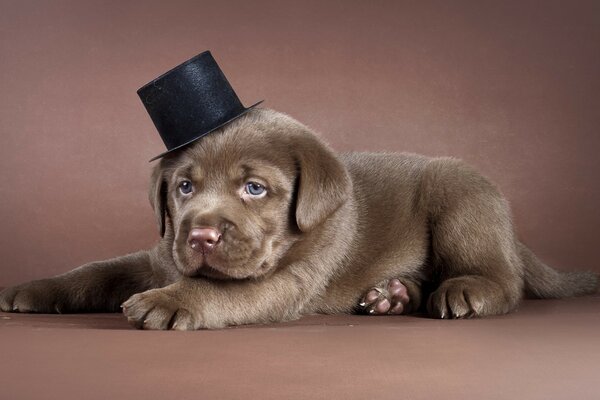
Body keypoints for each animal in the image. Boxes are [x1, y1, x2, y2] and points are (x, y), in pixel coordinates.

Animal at [0, 108, 596, 328]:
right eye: (185, 187)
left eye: (255, 188)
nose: (202, 234)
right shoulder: (156, 256)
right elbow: (94, 271)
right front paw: (34, 287)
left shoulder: (290, 280)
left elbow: (217, 290)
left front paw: (167, 303)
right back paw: (392, 296)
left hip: (461, 196)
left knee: (503, 278)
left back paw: (464, 290)